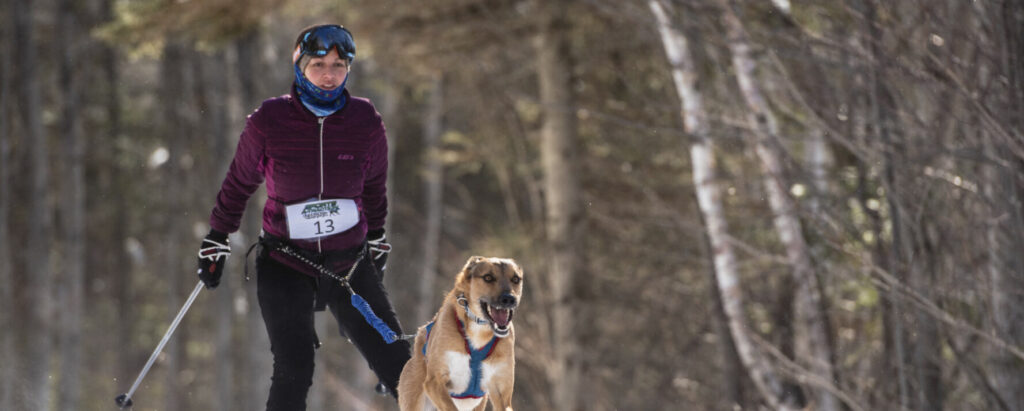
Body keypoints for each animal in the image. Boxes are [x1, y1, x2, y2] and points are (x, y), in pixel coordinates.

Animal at [397, 256, 524, 409]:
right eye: (488, 277)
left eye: (515, 279)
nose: (509, 298)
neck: (479, 333)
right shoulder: (435, 381)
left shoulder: (501, 389)